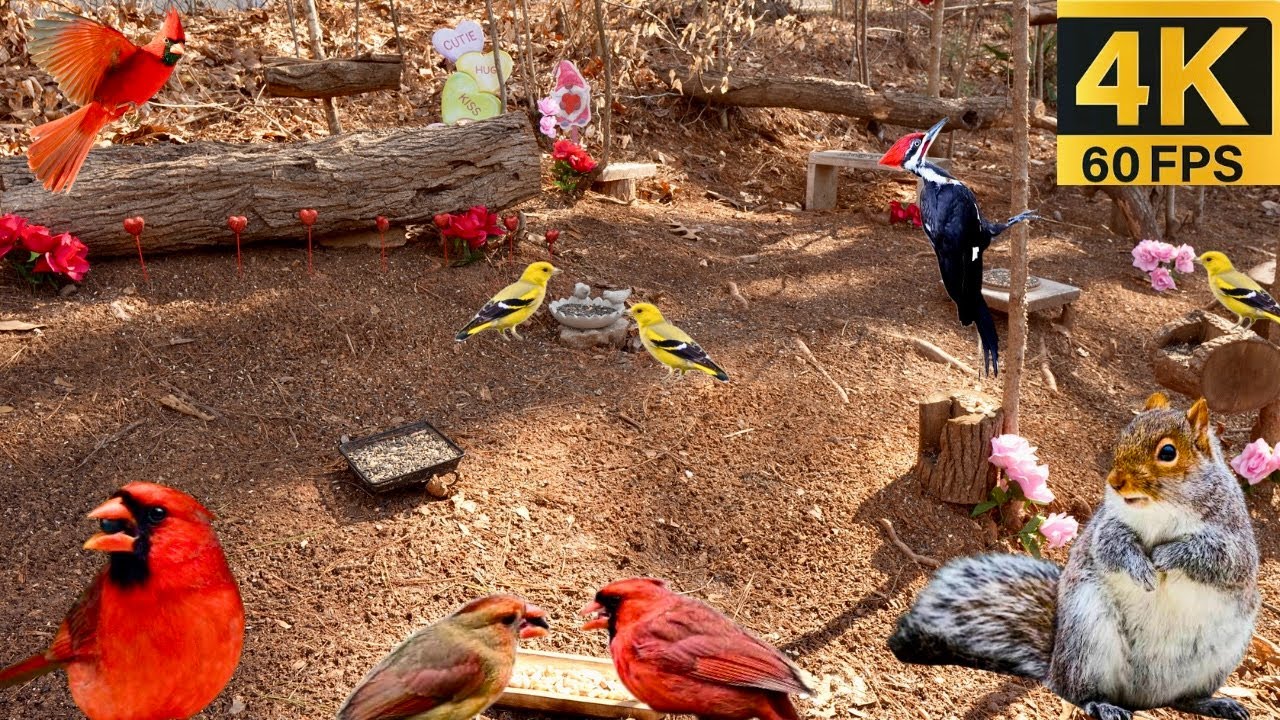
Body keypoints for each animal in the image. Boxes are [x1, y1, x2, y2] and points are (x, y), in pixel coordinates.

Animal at [888, 393, 1260, 720]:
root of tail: (1142, 698)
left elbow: (1221, 559)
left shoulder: (1235, 538)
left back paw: (1214, 703)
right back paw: (1103, 705)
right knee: (1074, 691)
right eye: (1123, 436)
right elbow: (1109, 546)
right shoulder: (1105, 525)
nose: (1115, 481)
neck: (1160, 509)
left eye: (1168, 452)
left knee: (1183, 698)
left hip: (1219, 656)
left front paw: (1168, 555)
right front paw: (1141, 567)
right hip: (1087, 637)